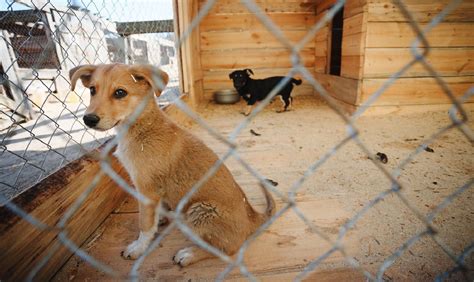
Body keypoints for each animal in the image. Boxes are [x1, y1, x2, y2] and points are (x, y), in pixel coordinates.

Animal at [71, 64, 278, 266]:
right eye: (92, 90)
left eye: (120, 92)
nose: (88, 119)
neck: (142, 128)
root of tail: (252, 217)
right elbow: (156, 213)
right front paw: (160, 218)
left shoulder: (146, 189)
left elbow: (144, 224)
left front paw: (138, 247)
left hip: (200, 210)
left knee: (226, 250)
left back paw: (189, 254)